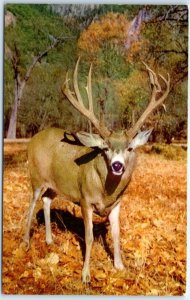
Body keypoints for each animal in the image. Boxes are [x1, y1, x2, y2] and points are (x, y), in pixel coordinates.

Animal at [23, 57, 170, 282]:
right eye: (105, 148)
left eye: (129, 148)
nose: (117, 165)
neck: (105, 192)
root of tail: (33, 138)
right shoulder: (85, 199)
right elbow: (89, 237)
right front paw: (86, 275)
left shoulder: (117, 204)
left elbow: (117, 234)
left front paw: (120, 266)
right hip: (36, 176)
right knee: (32, 204)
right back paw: (26, 242)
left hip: (54, 184)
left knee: (47, 201)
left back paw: (49, 240)